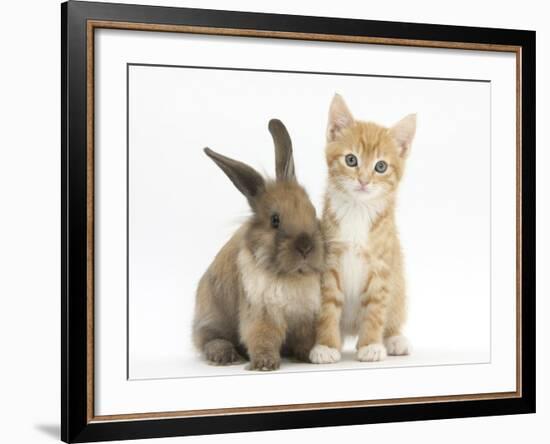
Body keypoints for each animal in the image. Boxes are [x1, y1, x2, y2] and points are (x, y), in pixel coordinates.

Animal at [193, 119, 326, 372]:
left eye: (313, 211)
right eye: (275, 220)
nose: (306, 247)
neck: (290, 275)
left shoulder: (307, 316)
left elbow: (305, 339)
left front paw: (309, 355)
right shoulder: (261, 314)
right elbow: (263, 338)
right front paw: (265, 363)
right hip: (211, 317)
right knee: (208, 340)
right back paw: (224, 355)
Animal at [312, 95, 416, 362]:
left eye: (381, 166)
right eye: (351, 160)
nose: (363, 181)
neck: (358, 210)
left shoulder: (381, 266)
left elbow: (375, 309)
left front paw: (370, 345)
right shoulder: (328, 263)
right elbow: (327, 307)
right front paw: (325, 346)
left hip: (399, 287)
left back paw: (394, 339)